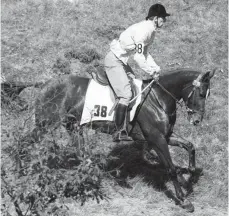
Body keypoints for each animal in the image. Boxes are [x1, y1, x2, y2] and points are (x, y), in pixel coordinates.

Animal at [21, 68, 216, 213]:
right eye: (200, 93)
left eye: (207, 95)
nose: (197, 120)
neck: (157, 98)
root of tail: (45, 84)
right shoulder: (157, 138)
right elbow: (170, 168)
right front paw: (183, 200)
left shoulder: (164, 136)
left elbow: (189, 146)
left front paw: (190, 173)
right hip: (46, 124)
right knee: (26, 143)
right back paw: (23, 170)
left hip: (73, 126)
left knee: (80, 153)